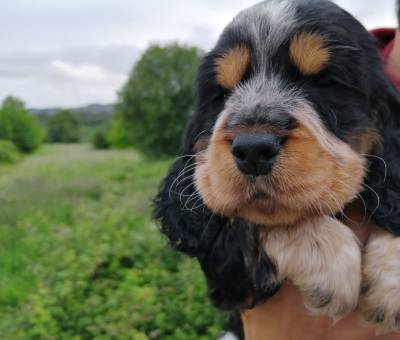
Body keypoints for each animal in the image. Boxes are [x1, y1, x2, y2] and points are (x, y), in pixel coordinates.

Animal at [155, 0, 400, 332]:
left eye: (326, 83)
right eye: (222, 93)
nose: (252, 150)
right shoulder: (226, 276)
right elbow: (255, 219)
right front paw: (330, 260)